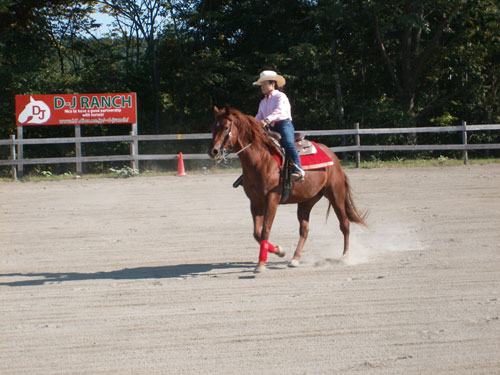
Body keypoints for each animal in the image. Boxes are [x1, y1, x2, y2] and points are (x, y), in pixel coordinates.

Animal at [208, 106, 368, 274]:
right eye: (212, 127)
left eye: (226, 127)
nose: (213, 151)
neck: (261, 160)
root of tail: (333, 157)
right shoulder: (255, 202)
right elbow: (257, 233)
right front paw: (279, 251)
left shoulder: (272, 199)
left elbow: (265, 230)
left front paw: (261, 264)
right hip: (306, 201)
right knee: (304, 229)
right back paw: (295, 259)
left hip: (336, 194)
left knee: (344, 224)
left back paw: (345, 257)